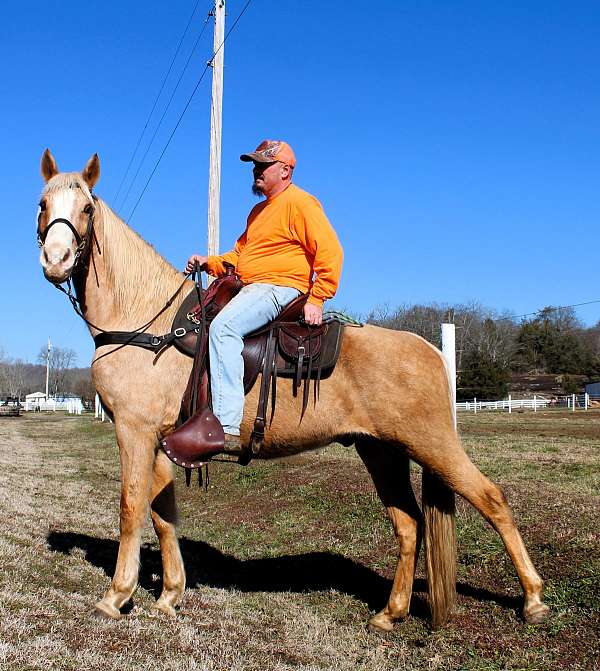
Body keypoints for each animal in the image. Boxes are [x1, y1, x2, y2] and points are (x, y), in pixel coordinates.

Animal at [37, 151, 552, 632]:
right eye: (43, 204)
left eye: (86, 208)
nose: (55, 260)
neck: (149, 322)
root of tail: (428, 347)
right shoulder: (160, 439)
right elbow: (163, 513)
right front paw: (168, 596)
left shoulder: (135, 430)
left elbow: (131, 506)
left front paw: (116, 596)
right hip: (381, 450)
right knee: (409, 524)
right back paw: (391, 612)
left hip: (432, 444)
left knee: (492, 500)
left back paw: (533, 600)